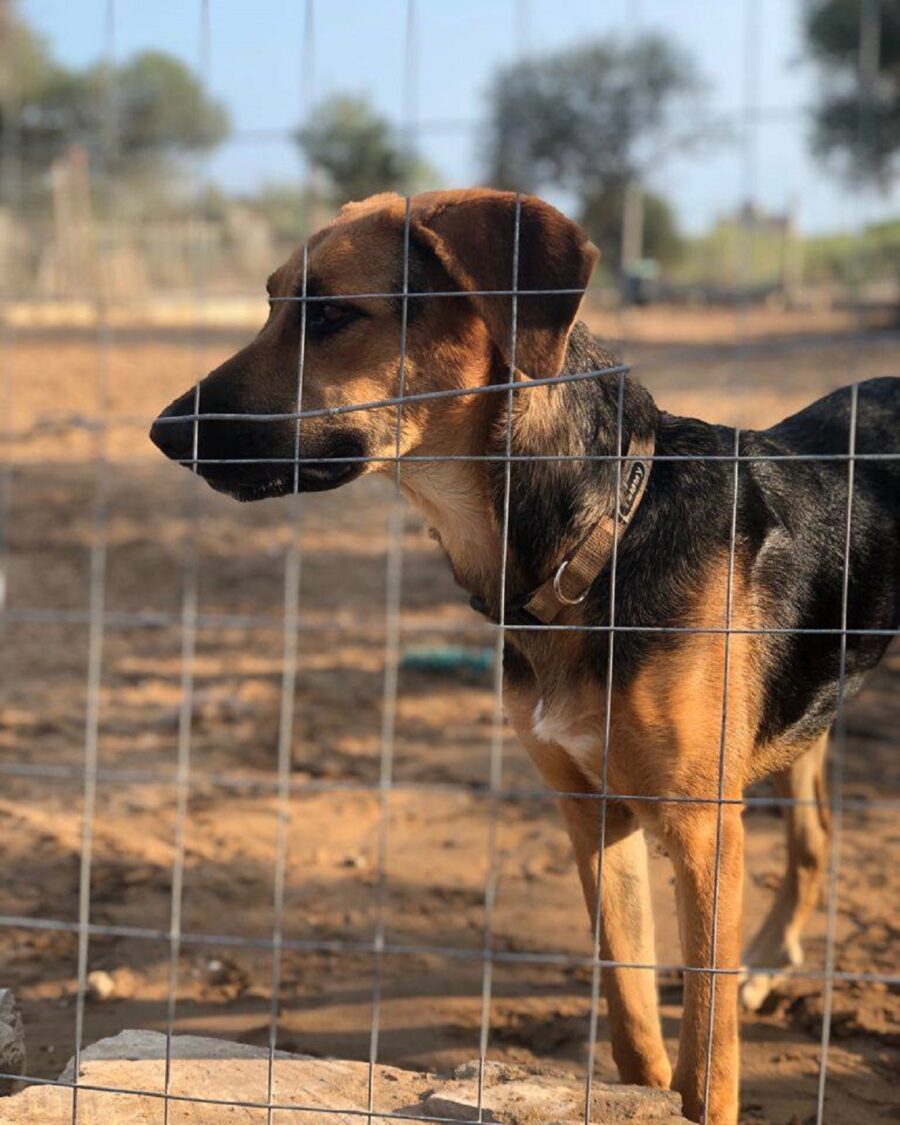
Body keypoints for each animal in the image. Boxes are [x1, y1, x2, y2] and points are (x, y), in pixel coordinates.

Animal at [150, 191, 895, 1125]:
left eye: (330, 314)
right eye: (274, 302)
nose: (162, 432)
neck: (600, 538)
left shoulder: (700, 830)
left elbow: (708, 1060)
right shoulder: (592, 814)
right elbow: (633, 1018)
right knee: (815, 837)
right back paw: (769, 957)